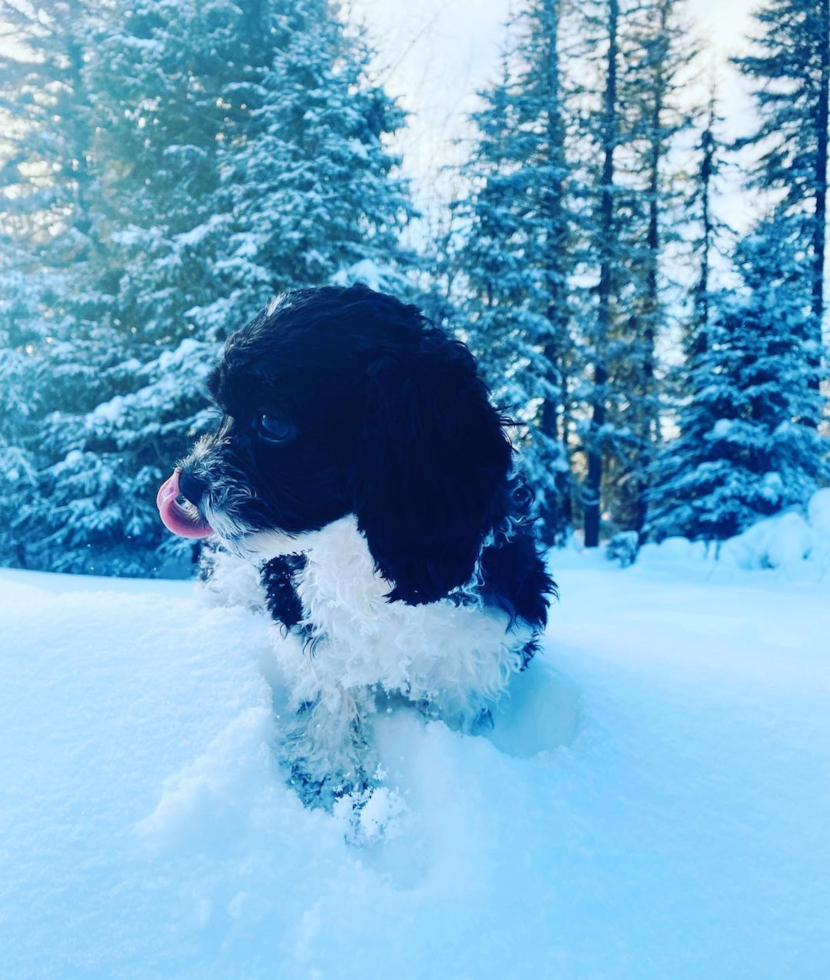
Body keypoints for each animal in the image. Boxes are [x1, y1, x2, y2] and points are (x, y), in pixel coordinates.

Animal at [158, 284, 560, 804]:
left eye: (271, 422)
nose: (186, 483)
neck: (362, 555)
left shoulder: (484, 639)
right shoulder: (306, 615)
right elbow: (331, 688)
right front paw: (328, 769)